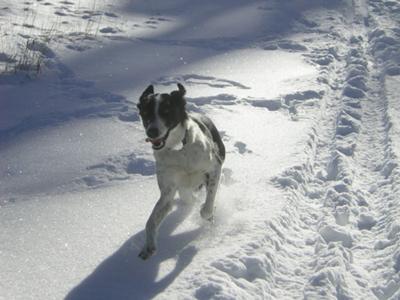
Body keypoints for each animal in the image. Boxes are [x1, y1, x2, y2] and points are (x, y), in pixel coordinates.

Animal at [137, 83, 225, 258]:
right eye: (145, 112)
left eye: (166, 111)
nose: (152, 132)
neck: (178, 149)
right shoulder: (167, 191)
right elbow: (151, 221)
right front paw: (149, 245)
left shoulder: (215, 167)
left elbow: (208, 204)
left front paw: (208, 214)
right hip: (183, 190)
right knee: (188, 197)